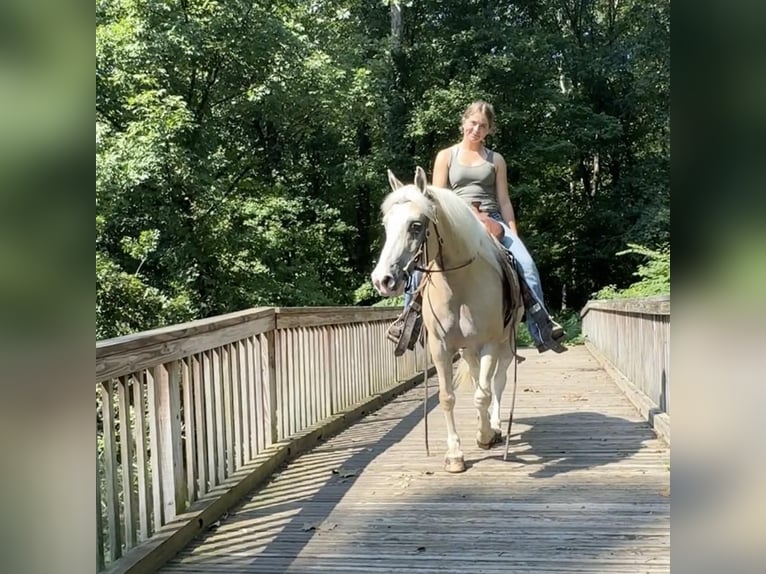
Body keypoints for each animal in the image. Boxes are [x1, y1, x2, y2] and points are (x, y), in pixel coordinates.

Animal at [372, 165, 528, 472]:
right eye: (386, 224)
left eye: (415, 225)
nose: (383, 280)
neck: (459, 284)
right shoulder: (441, 347)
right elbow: (447, 397)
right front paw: (455, 454)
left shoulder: (490, 343)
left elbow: (484, 393)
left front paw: (485, 435)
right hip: (468, 348)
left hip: (505, 343)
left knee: (497, 382)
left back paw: (494, 425)